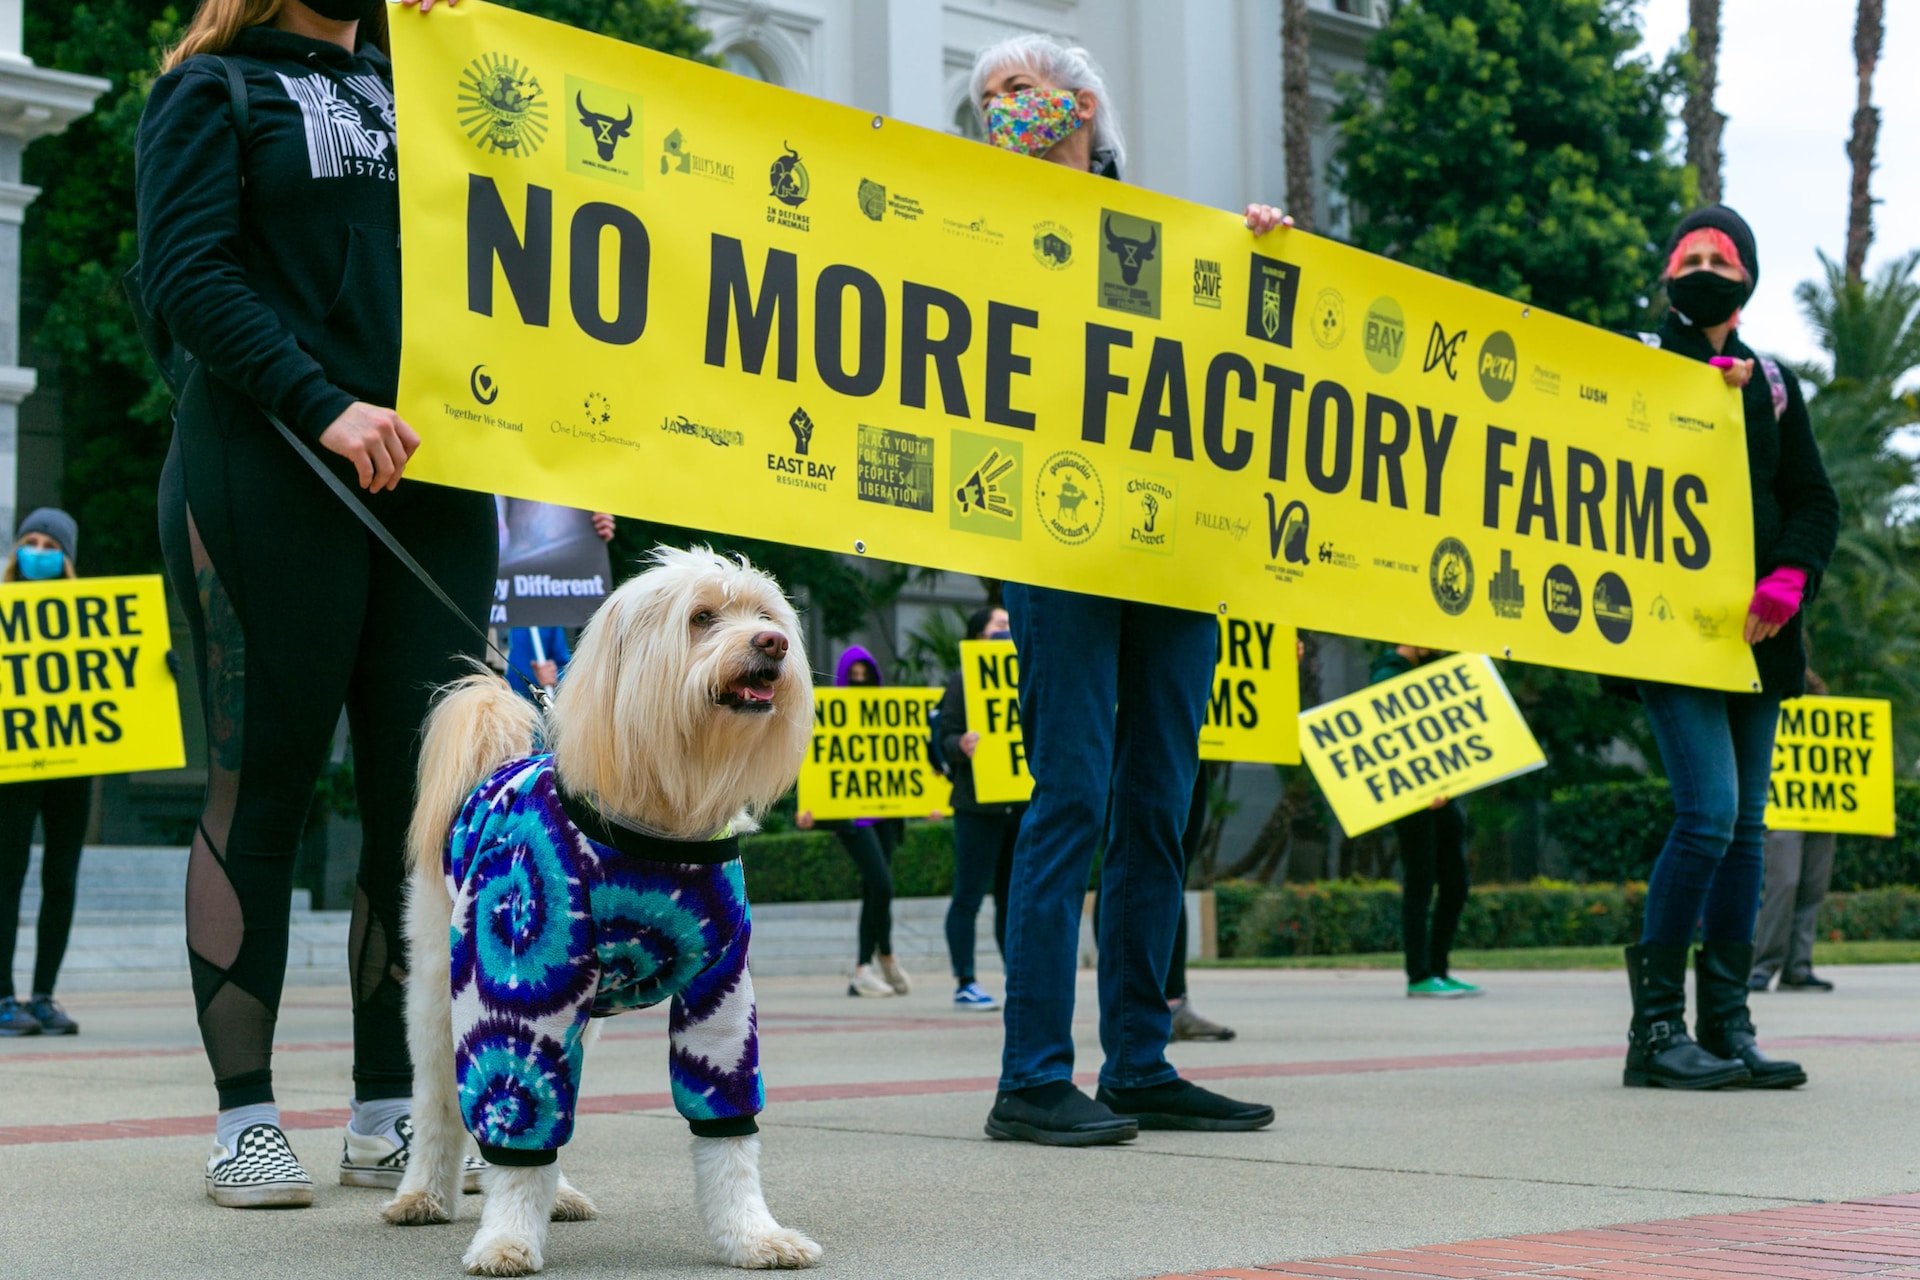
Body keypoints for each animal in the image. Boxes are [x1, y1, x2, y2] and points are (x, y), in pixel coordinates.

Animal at [382, 545, 817, 1274]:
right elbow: (513, 1120)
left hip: (580, 1021)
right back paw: (422, 1195)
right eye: (702, 617)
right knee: (441, 1102)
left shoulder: (723, 997)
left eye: (765, 615)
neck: (663, 823)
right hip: (441, 996)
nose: (773, 644)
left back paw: (556, 1194)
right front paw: (507, 1236)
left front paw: (753, 1235)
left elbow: (729, 1137)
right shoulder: (518, 991)